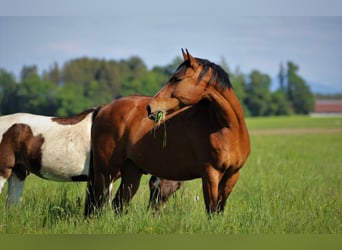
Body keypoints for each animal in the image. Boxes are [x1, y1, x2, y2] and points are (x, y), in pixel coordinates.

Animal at [85, 49, 251, 216]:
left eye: (177, 79)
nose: (150, 107)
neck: (225, 128)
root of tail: (104, 108)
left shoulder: (231, 175)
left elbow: (219, 209)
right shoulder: (210, 175)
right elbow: (211, 210)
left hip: (131, 171)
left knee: (119, 203)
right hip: (105, 172)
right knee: (97, 205)